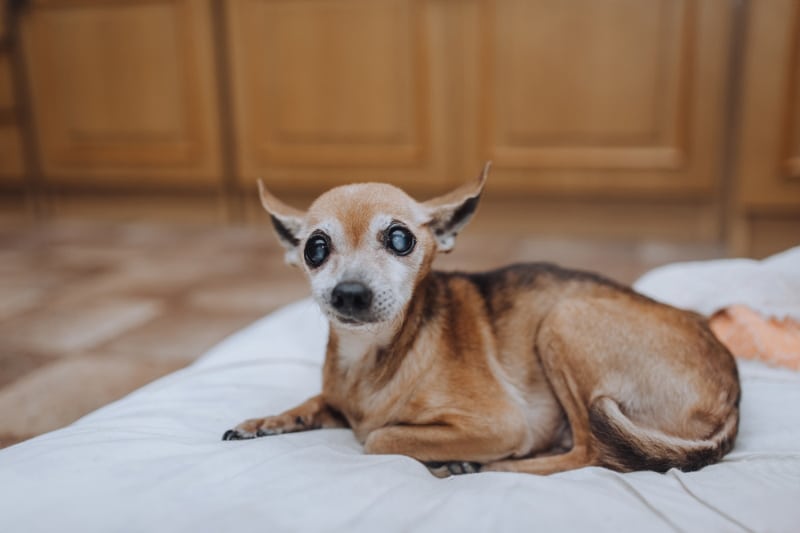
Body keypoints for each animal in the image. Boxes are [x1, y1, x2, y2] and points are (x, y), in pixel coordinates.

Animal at [222, 164, 740, 476]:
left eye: (400, 239)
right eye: (315, 249)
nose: (349, 292)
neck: (371, 358)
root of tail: (731, 397)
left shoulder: (499, 425)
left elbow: (378, 436)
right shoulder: (338, 397)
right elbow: (320, 401)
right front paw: (270, 419)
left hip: (563, 319)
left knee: (592, 453)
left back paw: (484, 468)